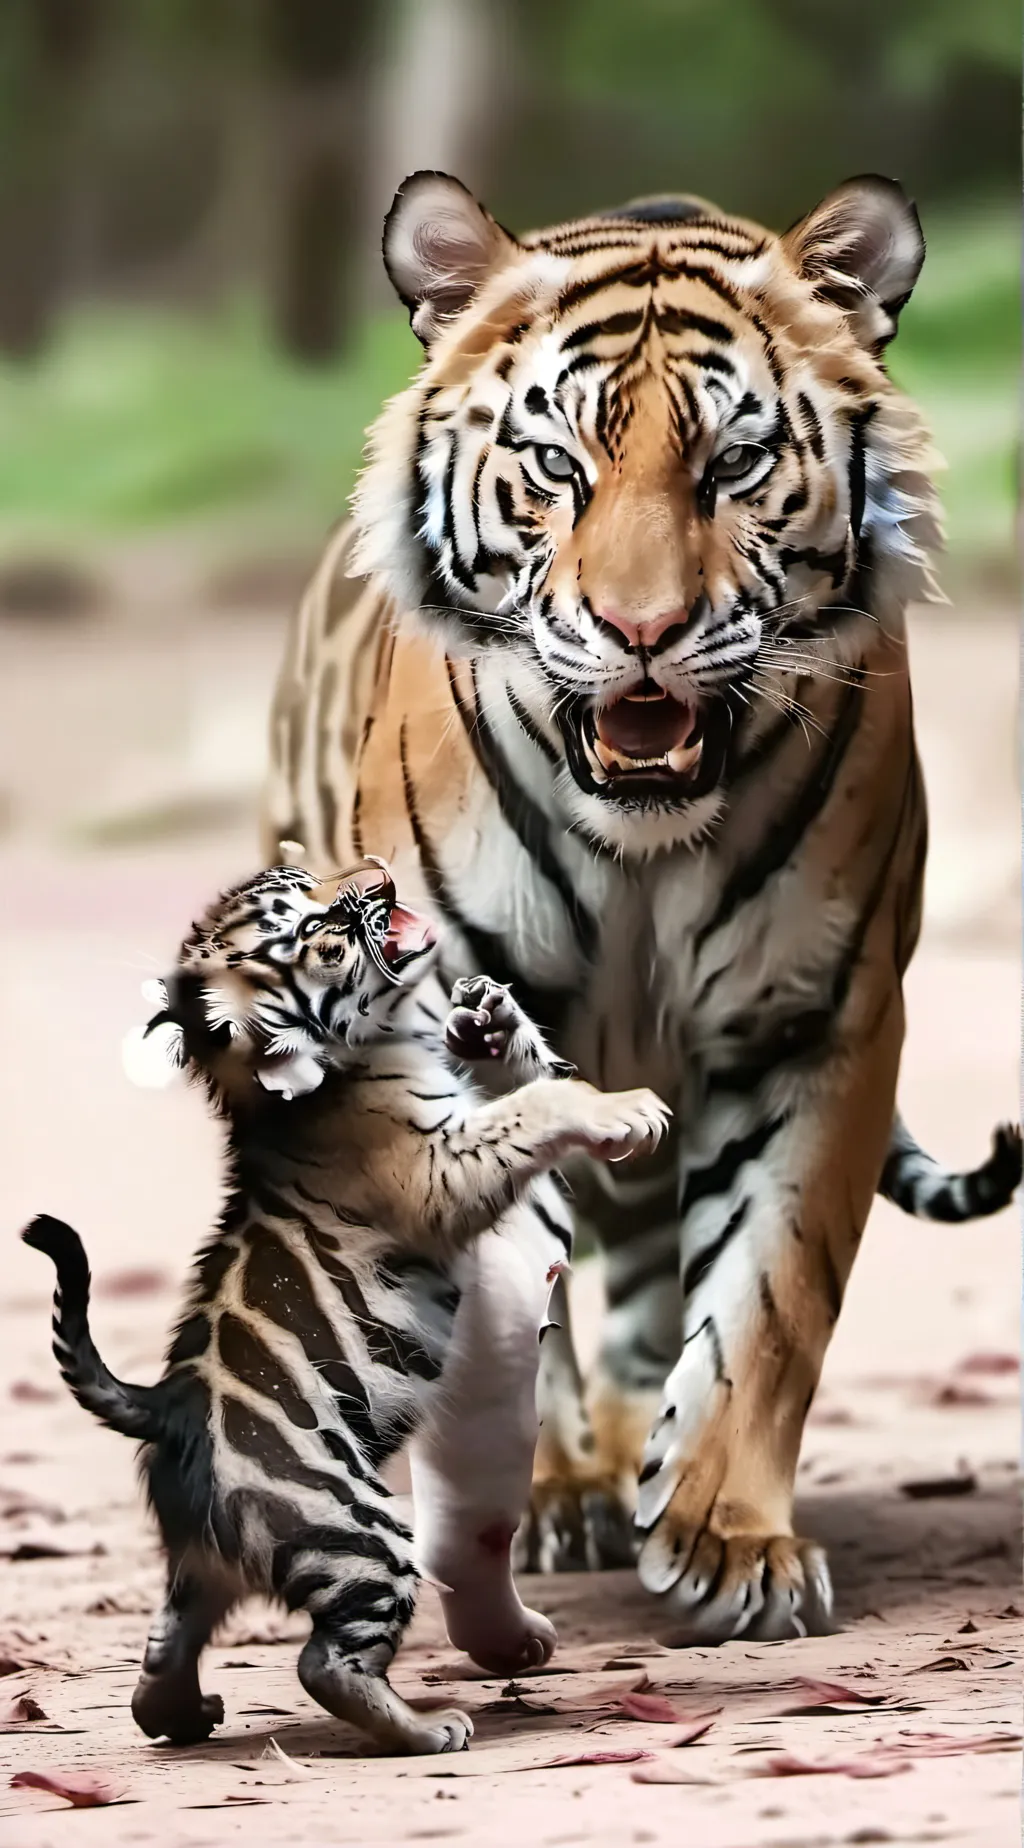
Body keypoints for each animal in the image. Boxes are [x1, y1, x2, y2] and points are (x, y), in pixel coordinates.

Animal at [22, 860, 669, 1751]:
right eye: (314, 927)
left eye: (303, 878)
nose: (380, 875)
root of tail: (168, 1407)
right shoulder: (438, 1171)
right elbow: (534, 1107)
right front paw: (628, 1109)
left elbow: (531, 1076)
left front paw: (490, 1018)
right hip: (361, 1533)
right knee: (322, 1663)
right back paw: (429, 1730)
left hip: (209, 1562)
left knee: (166, 1639)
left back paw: (181, 1715)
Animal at [264, 171, 1022, 1645]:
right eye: (558, 465)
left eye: (734, 464)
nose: (641, 634)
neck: (641, 849)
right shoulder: (457, 1033)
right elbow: (493, 1297)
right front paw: (522, 1502)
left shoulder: (810, 1026)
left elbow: (768, 1295)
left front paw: (729, 1540)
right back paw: (564, 1492)